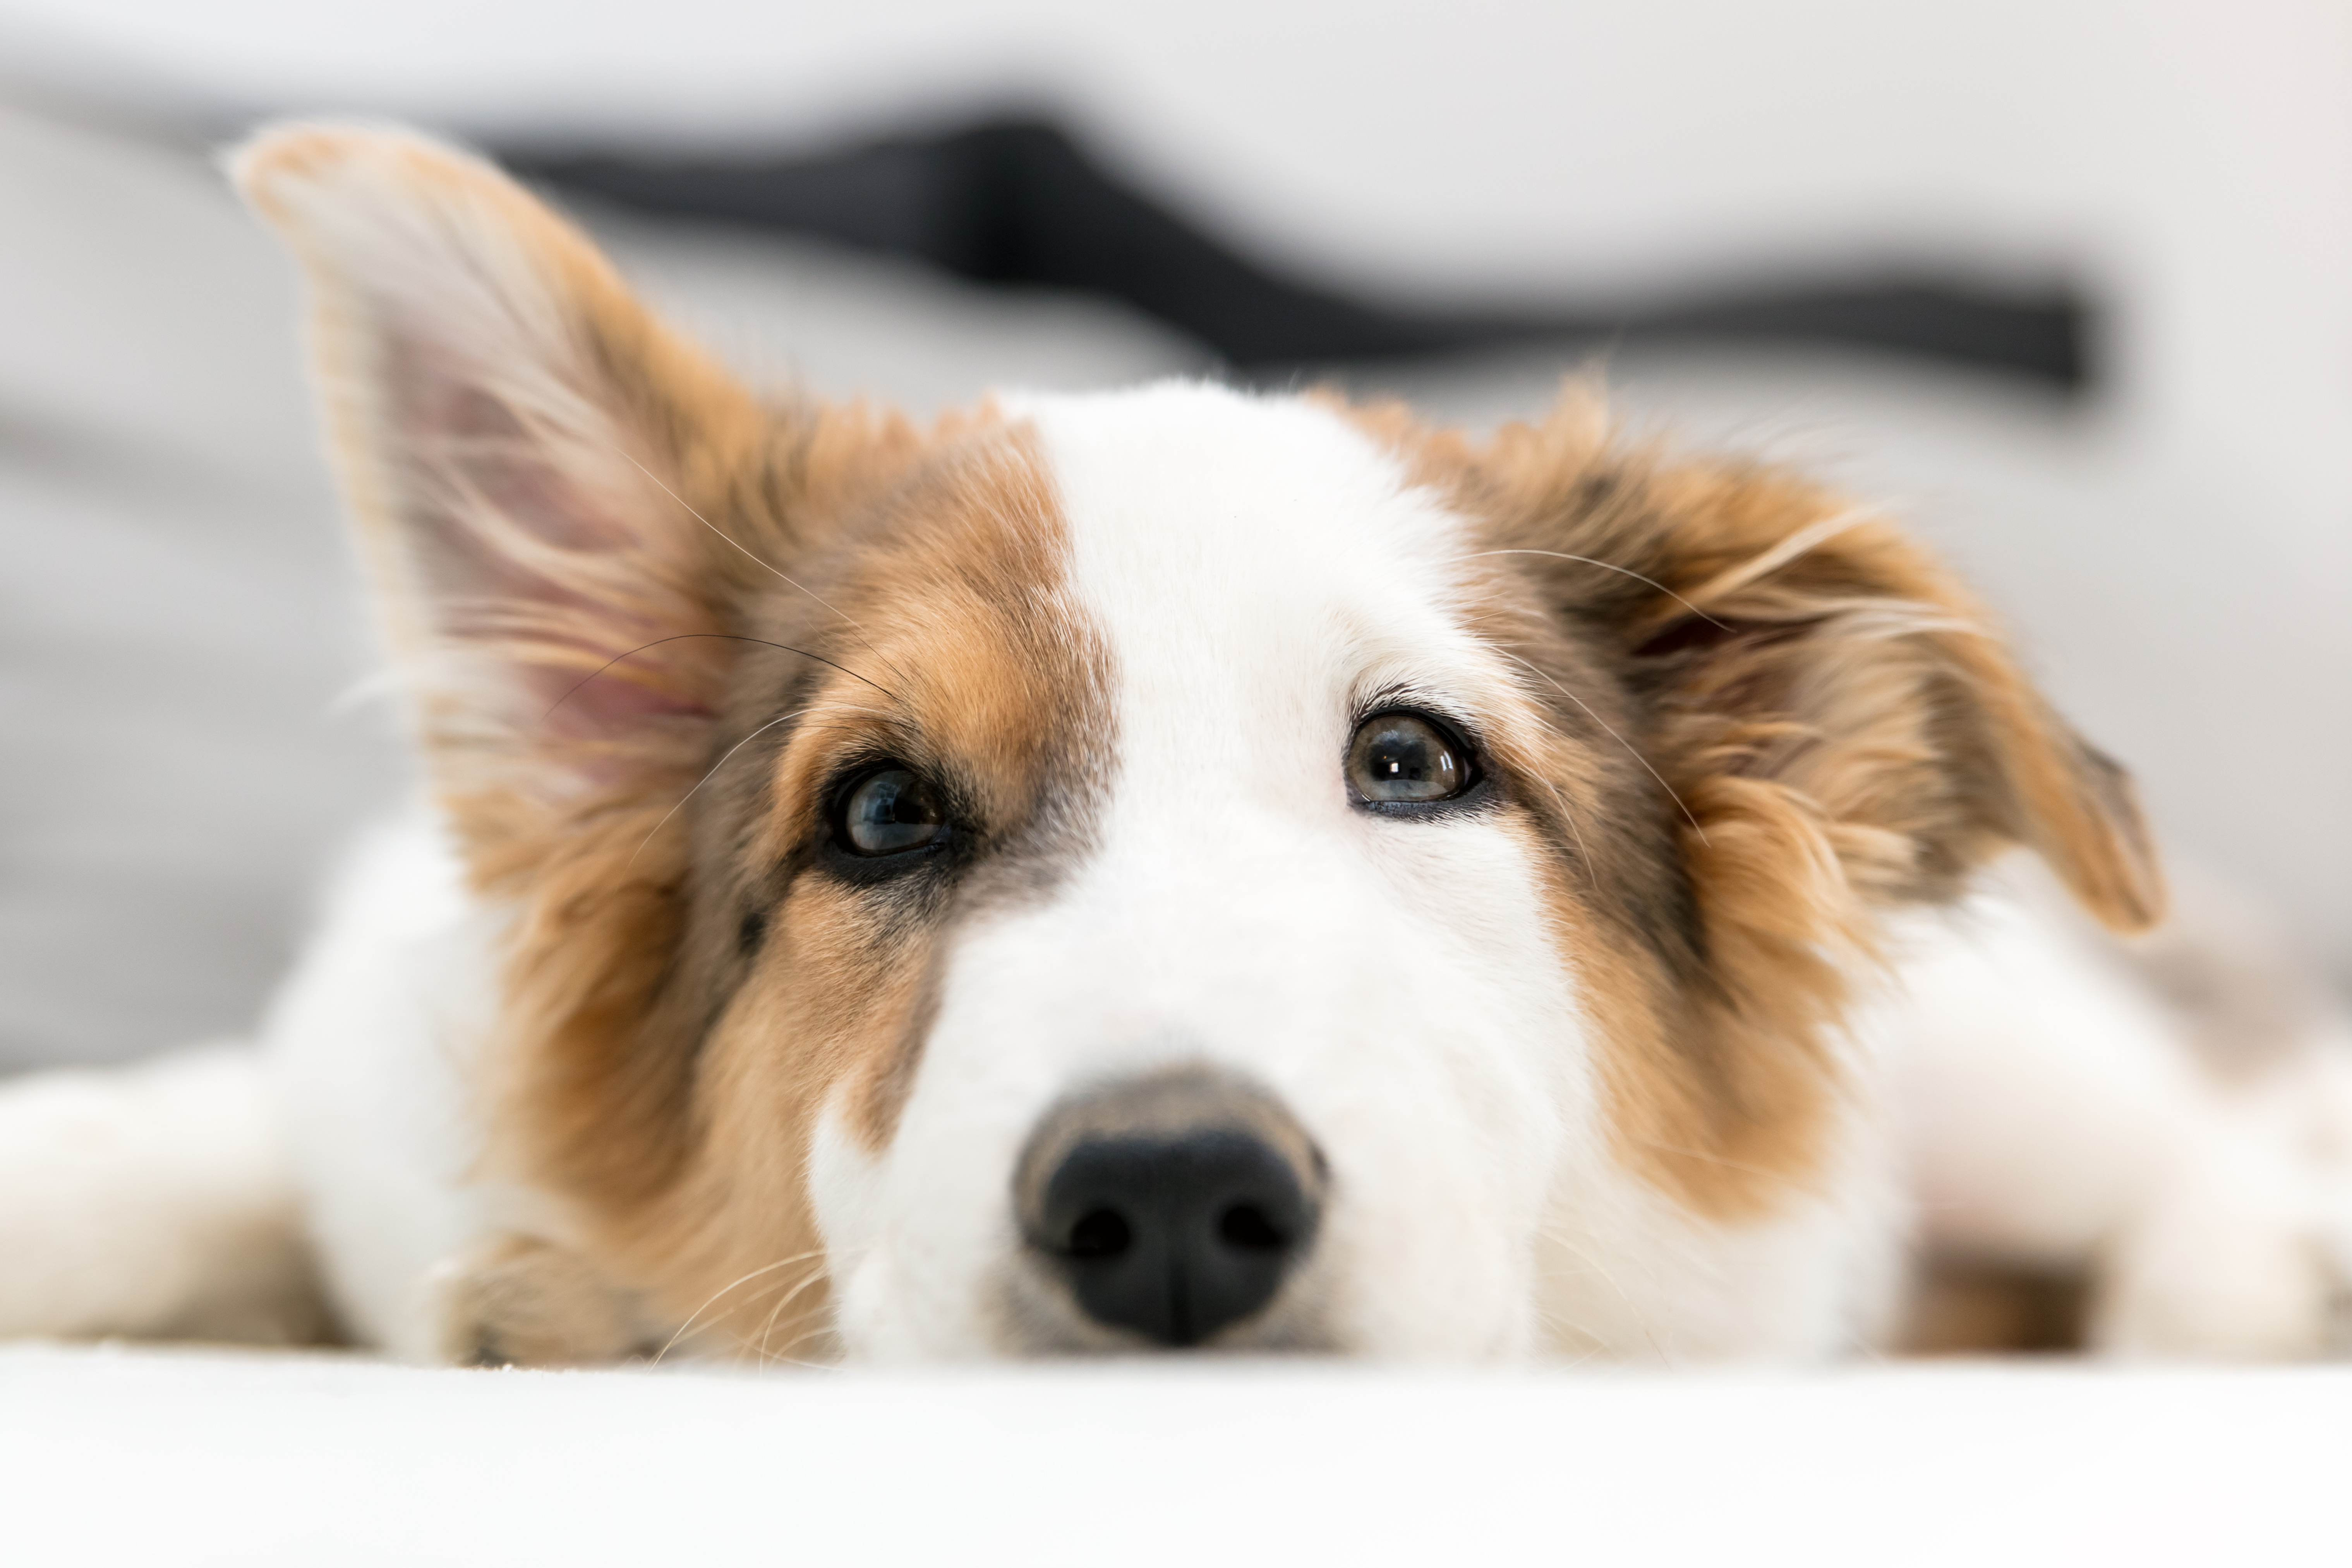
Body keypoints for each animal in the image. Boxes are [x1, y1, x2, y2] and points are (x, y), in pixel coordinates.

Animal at [4, 129, 2352, 1363]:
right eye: (878, 814)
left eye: (1413, 763)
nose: (1161, 1202)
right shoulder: (356, 1079)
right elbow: (174, 1145)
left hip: (2018, 1084)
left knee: (2195, 1139)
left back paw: (2236, 1280)